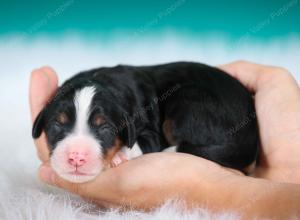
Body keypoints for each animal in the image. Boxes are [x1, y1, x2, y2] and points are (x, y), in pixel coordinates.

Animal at [32, 61, 258, 182]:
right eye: (57, 125)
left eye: (105, 129)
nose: (77, 157)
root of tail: (250, 136)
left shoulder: (151, 129)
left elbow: (142, 143)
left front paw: (120, 155)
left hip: (186, 100)